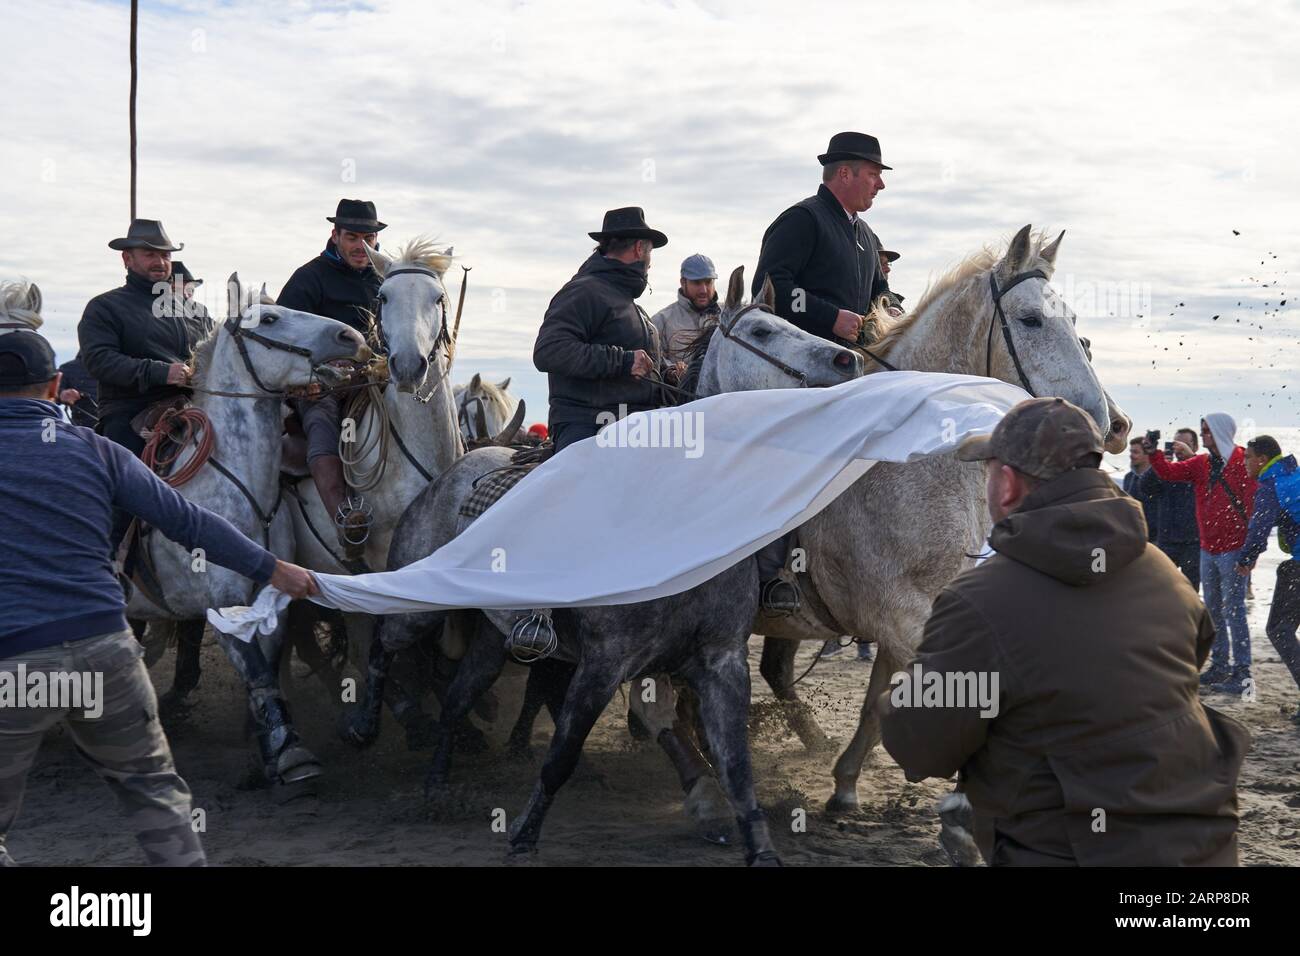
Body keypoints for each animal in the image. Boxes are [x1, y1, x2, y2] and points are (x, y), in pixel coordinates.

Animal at [125, 277, 371, 785]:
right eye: (270, 319)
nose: (352, 336)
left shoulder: (270, 596)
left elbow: (269, 668)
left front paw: (270, 751)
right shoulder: (222, 604)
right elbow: (256, 671)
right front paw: (292, 755)